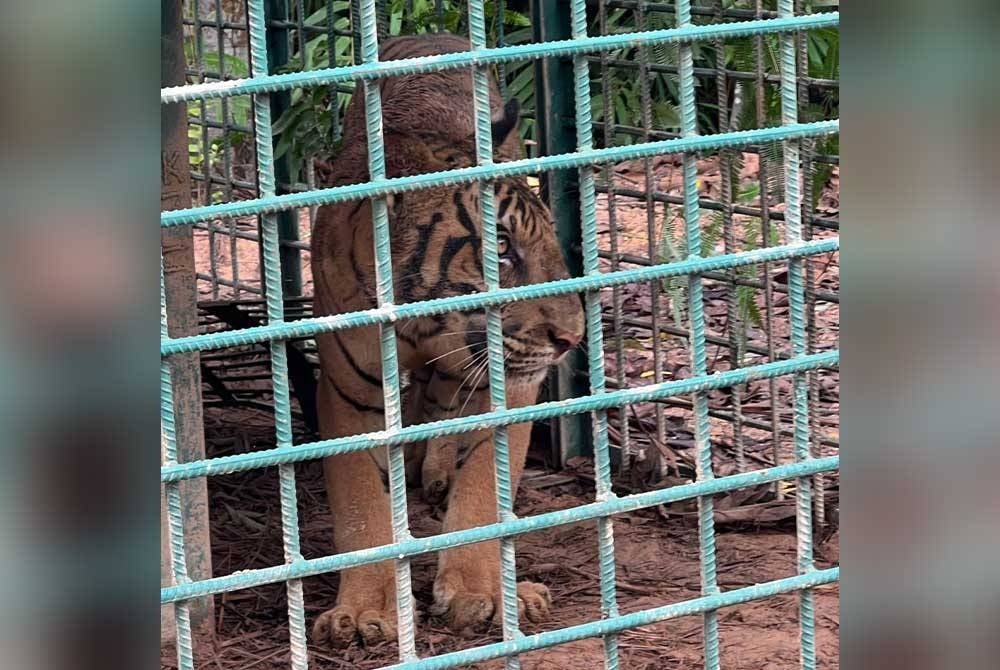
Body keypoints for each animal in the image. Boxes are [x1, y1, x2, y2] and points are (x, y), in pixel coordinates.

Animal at [309, 33, 585, 649]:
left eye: (549, 240)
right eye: (501, 248)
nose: (572, 337)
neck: (425, 323)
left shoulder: (508, 383)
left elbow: (483, 487)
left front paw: (482, 593)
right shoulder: (348, 392)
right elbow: (362, 503)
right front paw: (367, 609)